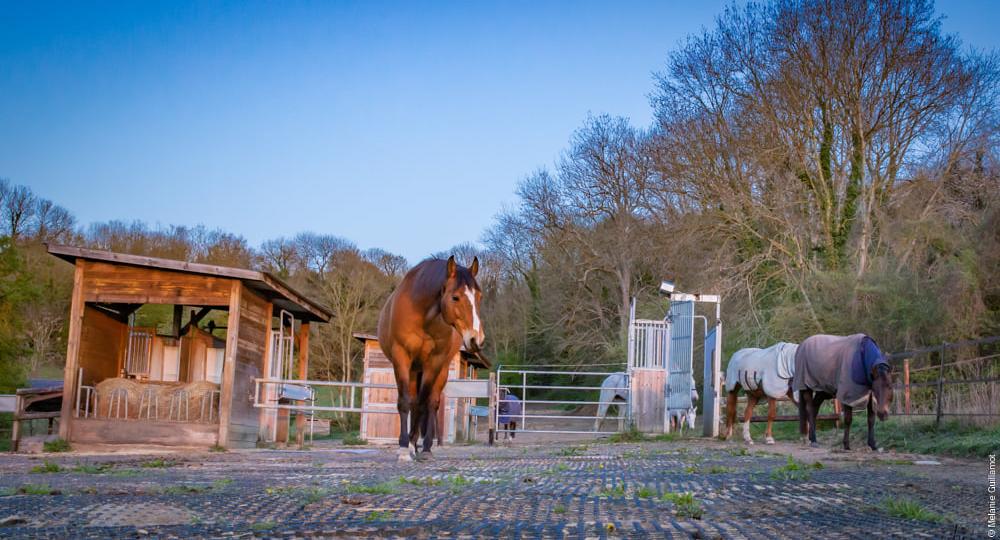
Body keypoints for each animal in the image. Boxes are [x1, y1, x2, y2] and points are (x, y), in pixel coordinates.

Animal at [376, 256, 486, 460]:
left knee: (431, 403)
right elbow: (405, 402)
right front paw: (404, 448)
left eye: (479, 297)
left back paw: (424, 447)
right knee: (412, 400)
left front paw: (413, 443)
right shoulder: (401, 357)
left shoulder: (433, 362)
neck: (422, 315)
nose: (476, 339)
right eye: (455, 297)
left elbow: (422, 403)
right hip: (413, 370)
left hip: (440, 370)